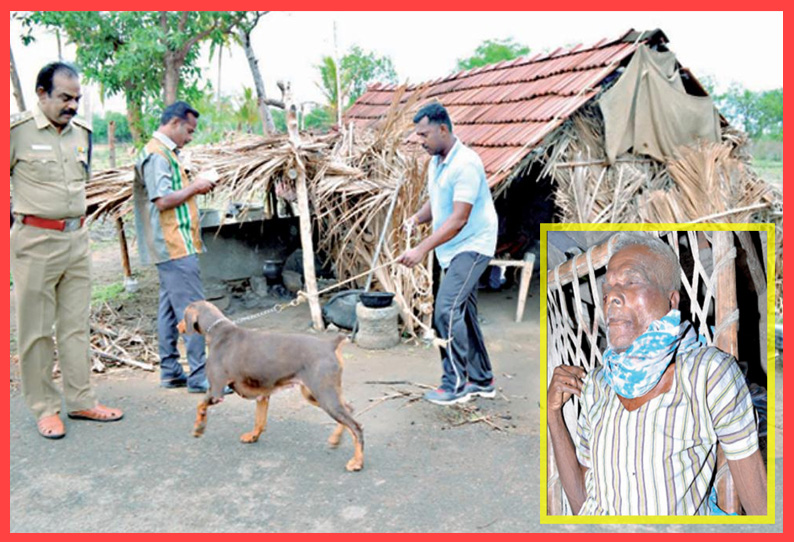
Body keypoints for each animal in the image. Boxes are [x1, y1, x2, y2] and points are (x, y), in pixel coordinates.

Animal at [176, 300, 362, 474]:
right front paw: (253, 436)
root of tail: (331, 344)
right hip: (315, 394)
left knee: (356, 427)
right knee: (349, 410)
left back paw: (357, 462)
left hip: (324, 395)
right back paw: (335, 440)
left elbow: (200, 406)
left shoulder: (216, 391)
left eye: (183, 315)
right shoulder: (262, 396)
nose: (178, 326)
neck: (217, 331)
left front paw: (198, 429)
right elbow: (259, 421)